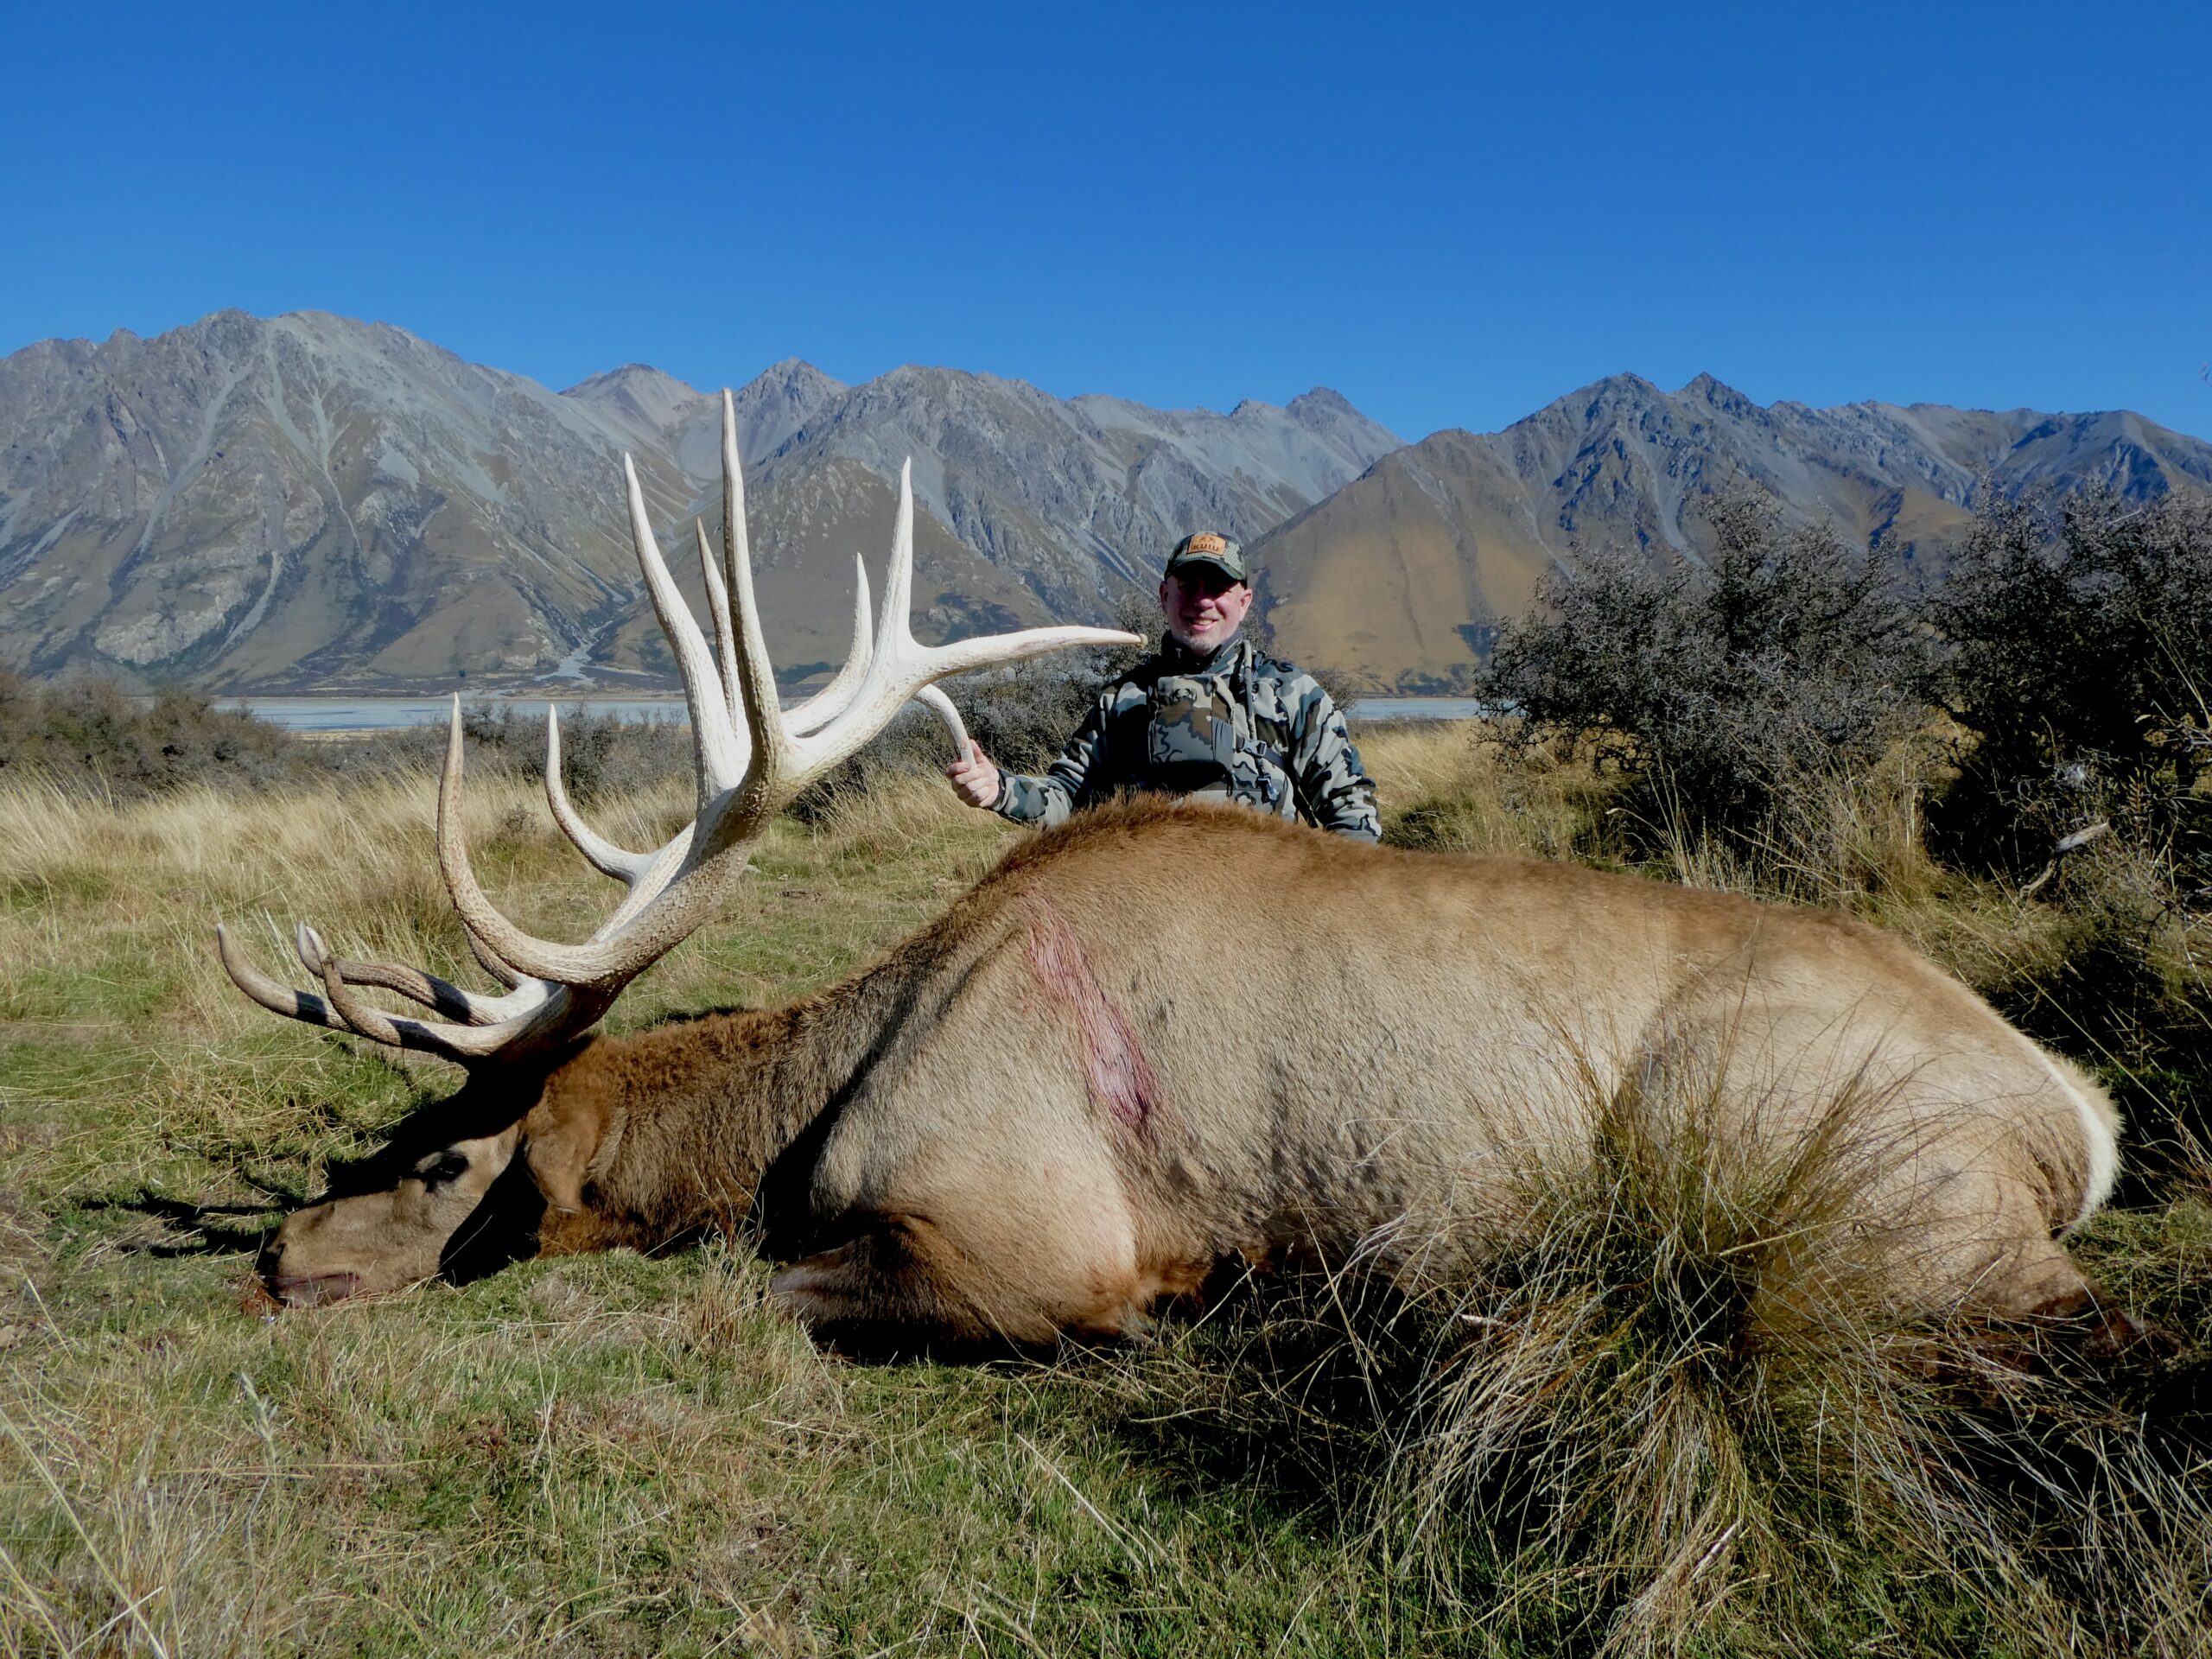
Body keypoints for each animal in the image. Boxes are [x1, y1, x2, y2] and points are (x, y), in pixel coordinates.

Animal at [219, 392, 2125, 1349]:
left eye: (442, 1158)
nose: (279, 1255)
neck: (808, 1106)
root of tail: (2079, 1120)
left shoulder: (1026, 1222)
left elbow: (788, 1285)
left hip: (1829, 1174)